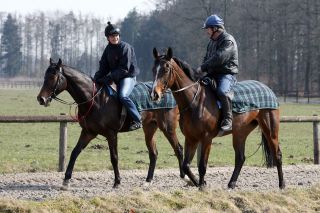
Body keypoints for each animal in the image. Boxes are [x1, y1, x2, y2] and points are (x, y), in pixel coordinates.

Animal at [36, 58, 184, 188]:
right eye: (45, 76)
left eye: (53, 77)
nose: (41, 99)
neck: (95, 100)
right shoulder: (88, 132)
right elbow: (74, 152)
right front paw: (66, 180)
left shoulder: (111, 134)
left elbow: (114, 157)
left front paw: (117, 181)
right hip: (149, 128)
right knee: (153, 153)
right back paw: (148, 180)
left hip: (168, 128)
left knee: (178, 148)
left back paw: (184, 177)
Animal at [151, 47, 284, 189]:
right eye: (153, 69)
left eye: (166, 69)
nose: (154, 94)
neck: (195, 100)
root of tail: (268, 89)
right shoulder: (191, 138)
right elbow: (186, 165)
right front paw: (197, 182)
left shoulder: (206, 138)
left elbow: (202, 166)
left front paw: (202, 185)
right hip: (240, 132)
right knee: (240, 157)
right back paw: (231, 183)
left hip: (270, 130)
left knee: (277, 155)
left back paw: (282, 184)